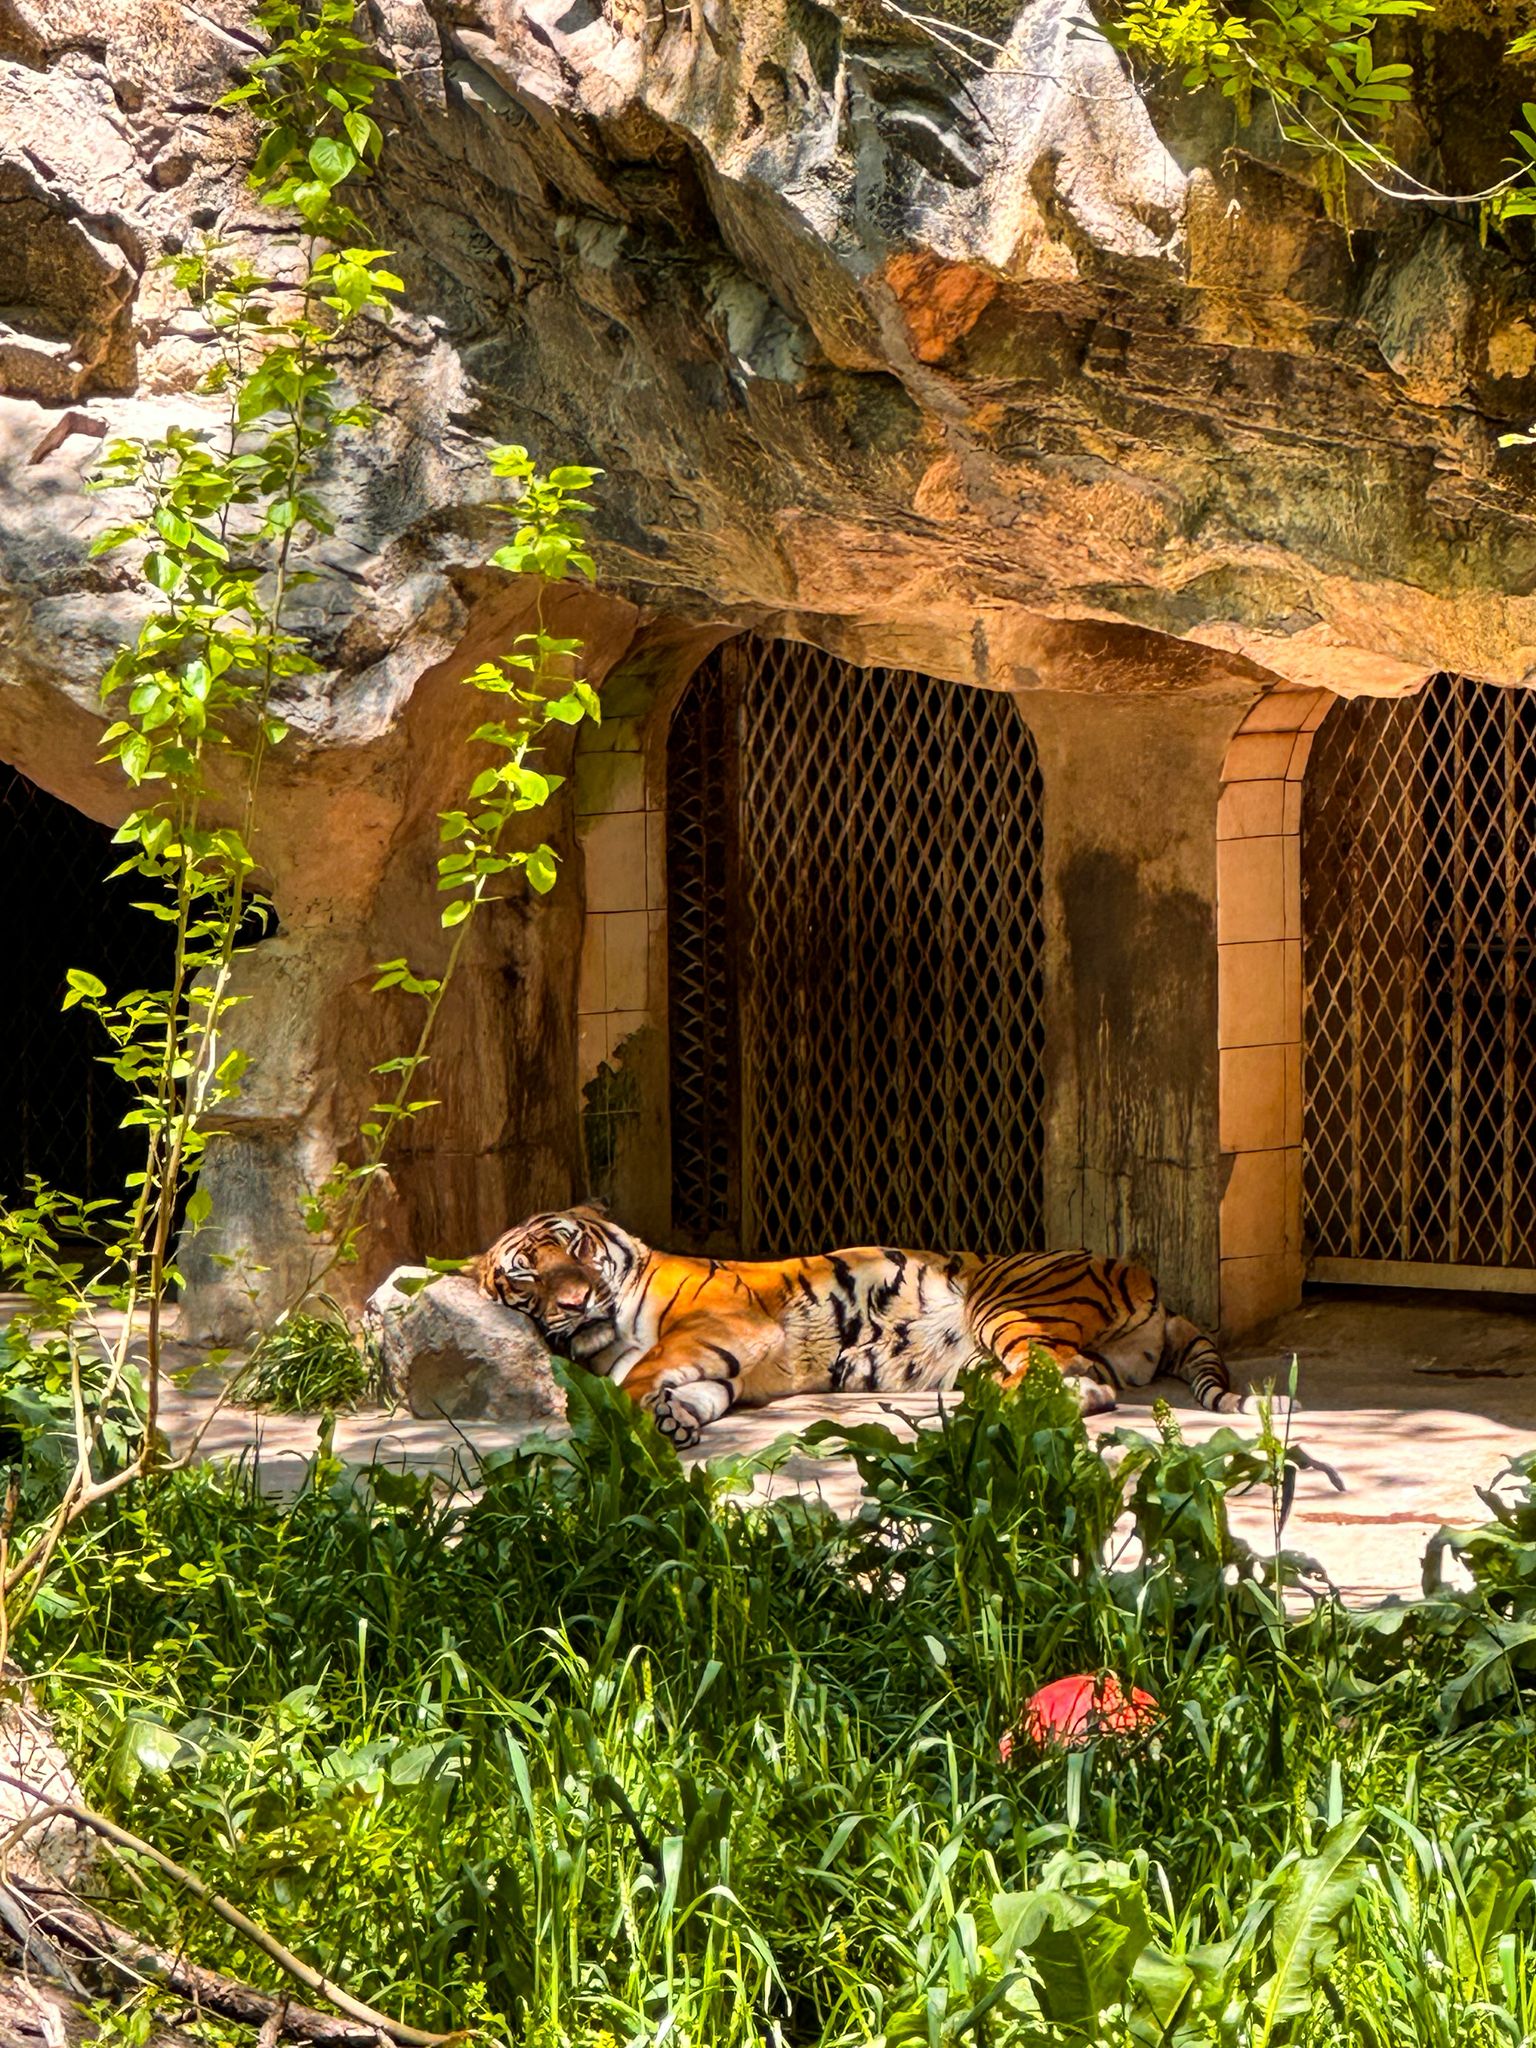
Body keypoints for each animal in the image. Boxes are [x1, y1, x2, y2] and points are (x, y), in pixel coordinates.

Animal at [471, 1206, 1283, 1449]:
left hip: (1003, 1300)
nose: (576, 1301)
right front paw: (674, 1421)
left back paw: (975, 1414)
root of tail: (1149, 1282)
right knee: (1082, 1384)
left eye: (575, 1252)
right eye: (526, 1276)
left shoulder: (725, 1325)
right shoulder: (729, 1369)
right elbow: (697, 1393)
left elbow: (641, 1372)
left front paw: (633, 1409)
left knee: (1052, 1377)